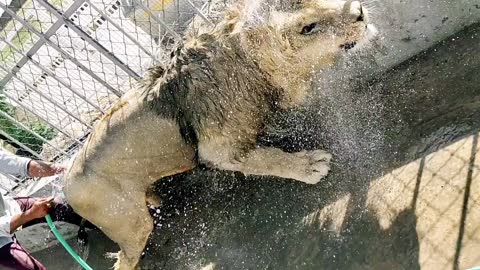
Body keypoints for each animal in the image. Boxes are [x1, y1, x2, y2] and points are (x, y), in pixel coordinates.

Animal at [62, 1, 376, 268]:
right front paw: (308, 165)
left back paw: (155, 198)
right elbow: (267, 159)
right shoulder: (217, 151)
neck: (245, 65)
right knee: (124, 259)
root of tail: (65, 187)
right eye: (307, 28)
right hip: (131, 224)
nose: (359, 11)